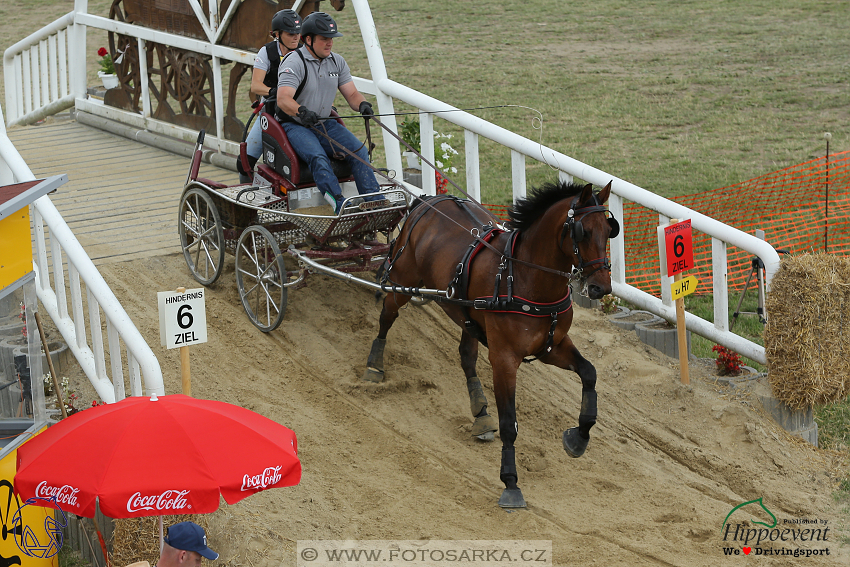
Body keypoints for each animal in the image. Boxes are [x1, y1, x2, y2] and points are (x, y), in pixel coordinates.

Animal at [362, 180, 620, 508]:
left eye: (609, 230)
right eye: (582, 232)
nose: (601, 288)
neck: (522, 277)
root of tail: (427, 200)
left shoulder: (553, 346)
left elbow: (589, 373)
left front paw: (579, 436)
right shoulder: (503, 359)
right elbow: (510, 422)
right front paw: (510, 481)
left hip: (466, 315)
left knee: (466, 356)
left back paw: (481, 412)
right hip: (401, 283)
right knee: (387, 316)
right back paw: (374, 364)